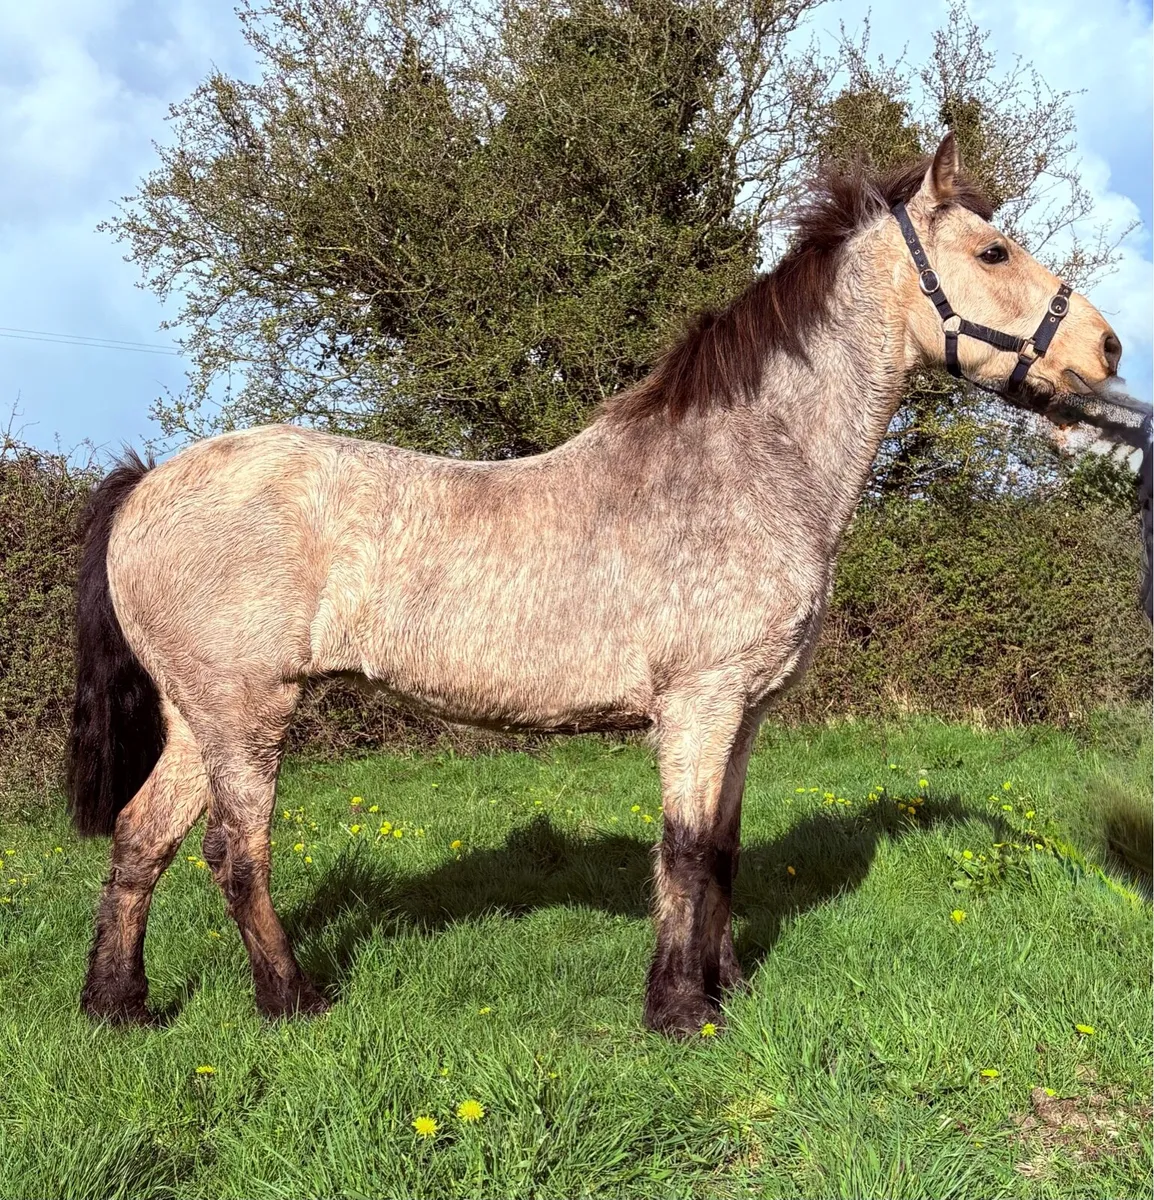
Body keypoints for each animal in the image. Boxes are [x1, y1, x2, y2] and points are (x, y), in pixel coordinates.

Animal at [68, 135, 1123, 1036]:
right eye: (992, 251)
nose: (1107, 350)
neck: (746, 469)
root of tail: (145, 486)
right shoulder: (698, 703)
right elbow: (684, 850)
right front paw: (679, 1011)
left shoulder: (744, 712)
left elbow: (723, 851)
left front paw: (727, 988)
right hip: (248, 713)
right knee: (235, 852)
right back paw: (291, 999)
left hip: (198, 717)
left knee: (139, 839)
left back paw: (119, 1007)